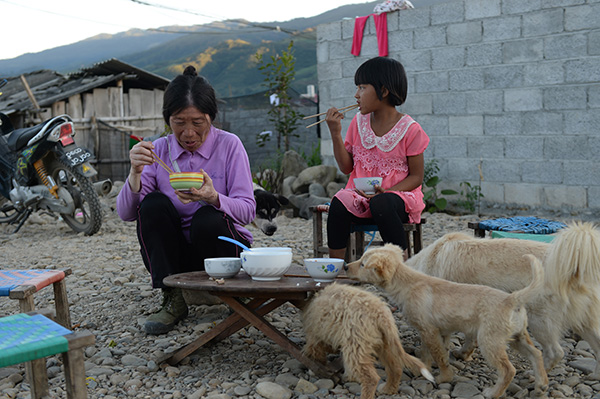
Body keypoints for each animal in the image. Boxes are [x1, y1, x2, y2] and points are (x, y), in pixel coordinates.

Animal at [302, 282, 434, 399]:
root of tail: (380, 315)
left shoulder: (315, 335)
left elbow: (315, 351)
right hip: (384, 344)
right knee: (396, 368)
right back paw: (388, 390)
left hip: (356, 346)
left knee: (371, 378)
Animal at [346, 245, 548, 398]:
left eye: (362, 264)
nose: (346, 266)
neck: (407, 283)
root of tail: (512, 299)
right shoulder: (429, 331)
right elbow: (428, 353)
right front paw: (424, 369)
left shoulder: (430, 331)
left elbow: (440, 356)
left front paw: (444, 378)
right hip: (517, 337)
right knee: (536, 353)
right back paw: (541, 385)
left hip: (490, 341)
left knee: (508, 370)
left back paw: (494, 392)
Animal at [406, 223, 600, 380]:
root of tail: (576, 271)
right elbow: (469, 337)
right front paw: (463, 353)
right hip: (583, 323)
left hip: (540, 321)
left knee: (555, 353)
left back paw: (534, 376)